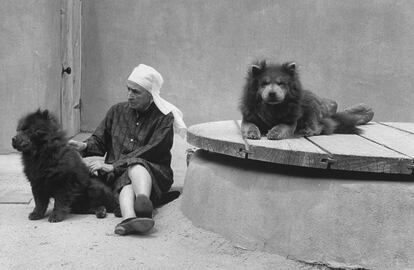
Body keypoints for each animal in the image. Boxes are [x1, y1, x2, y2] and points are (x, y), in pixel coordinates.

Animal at [238, 60, 374, 140]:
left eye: (281, 83)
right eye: (264, 84)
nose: (272, 93)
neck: (272, 107)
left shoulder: (290, 121)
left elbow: (282, 126)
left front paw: (274, 133)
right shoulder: (248, 118)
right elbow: (250, 125)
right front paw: (252, 133)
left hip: (311, 108)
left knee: (320, 126)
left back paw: (306, 131)